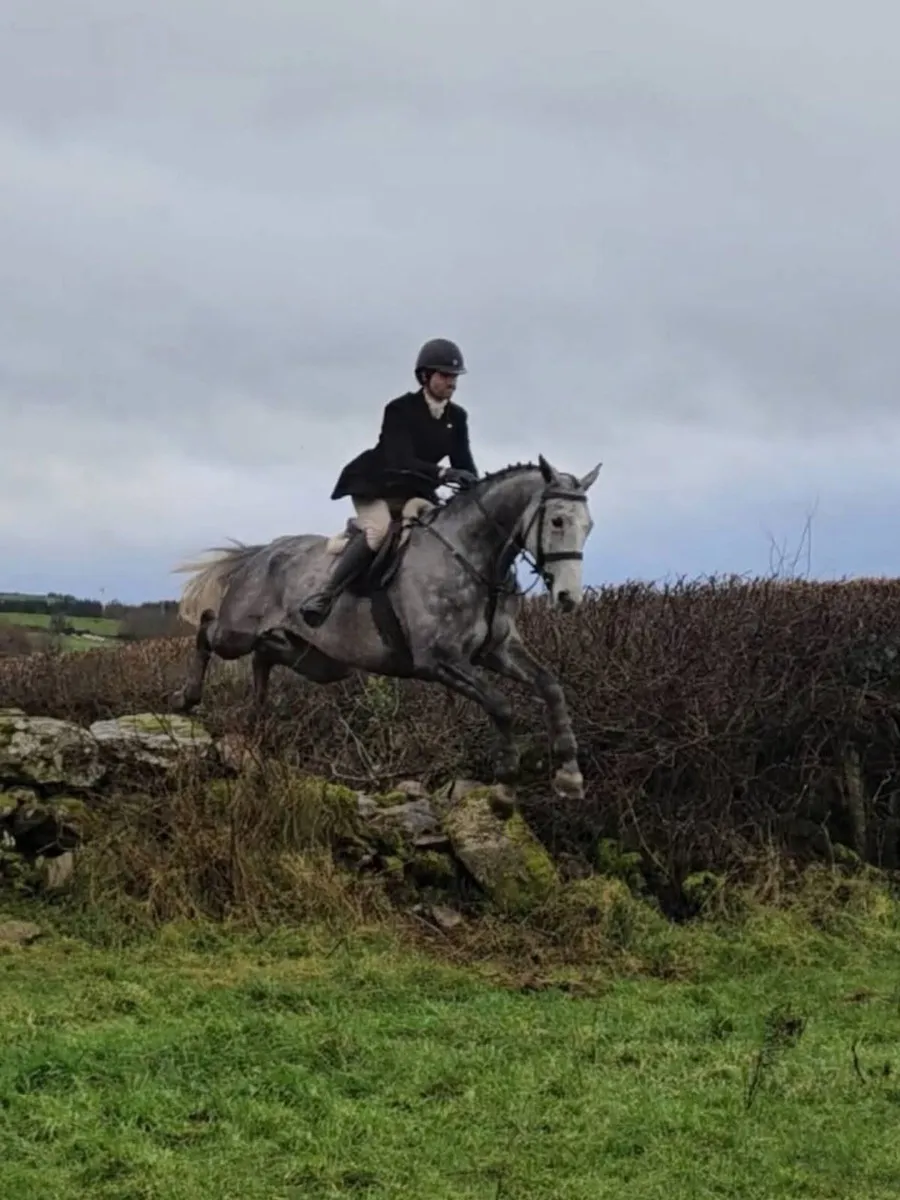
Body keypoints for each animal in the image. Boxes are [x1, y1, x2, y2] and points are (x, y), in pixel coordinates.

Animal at [170, 455, 602, 799]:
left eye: (589, 526)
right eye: (558, 521)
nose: (568, 598)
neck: (473, 557)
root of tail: (262, 553)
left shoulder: (497, 651)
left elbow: (550, 685)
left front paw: (569, 774)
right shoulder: (439, 660)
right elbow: (500, 703)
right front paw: (507, 775)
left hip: (320, 661)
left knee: (265, 654)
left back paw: (257, 714)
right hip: (237, 633)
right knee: (209, 629)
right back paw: (187, 698)